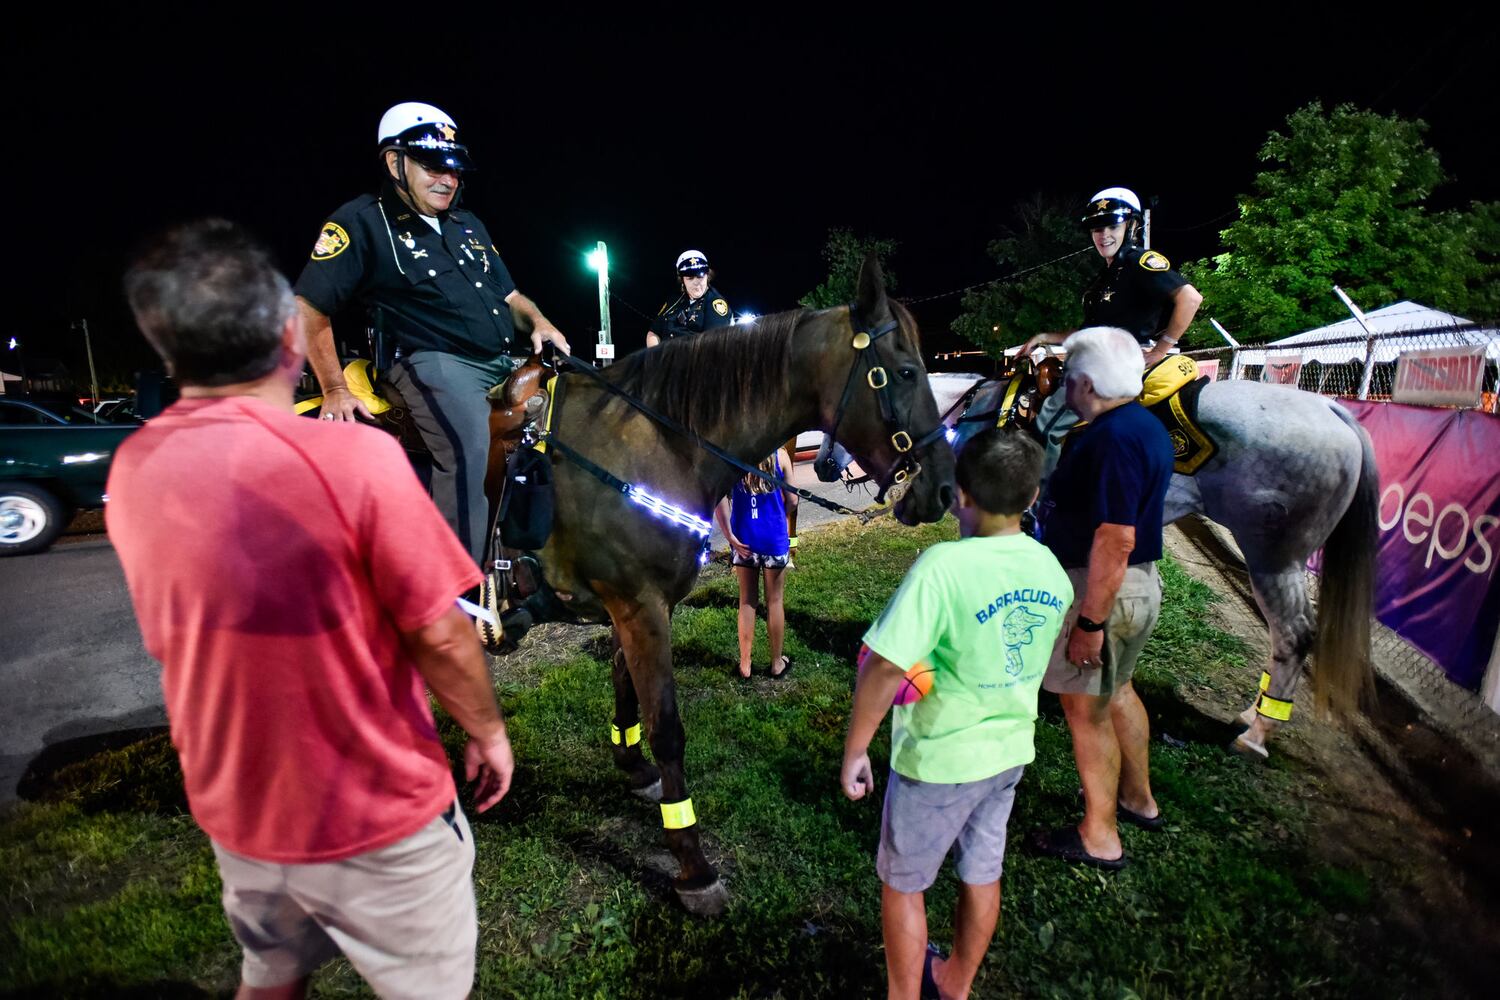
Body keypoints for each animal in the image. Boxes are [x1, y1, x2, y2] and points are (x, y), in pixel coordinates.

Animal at [513, 260, 948, 917]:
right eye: (903, 372)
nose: (943, 488)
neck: (656, 443)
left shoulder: (635, 606)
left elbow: (623, 682)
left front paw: (631, 767)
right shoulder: (639, 607)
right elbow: (667, 728)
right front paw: (692, 865)